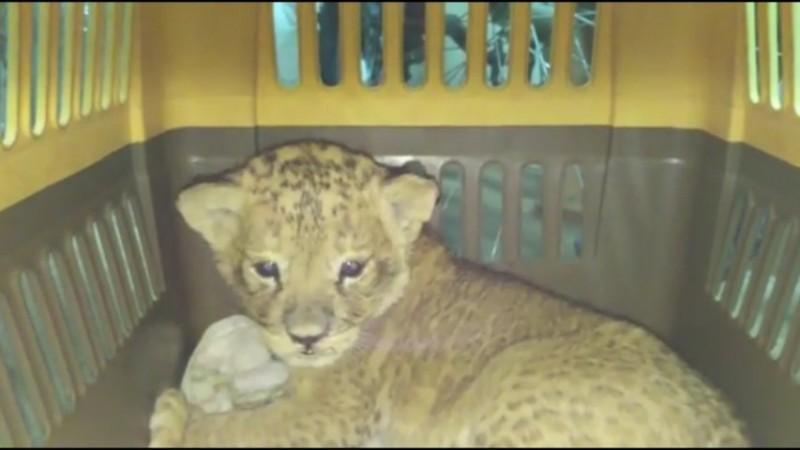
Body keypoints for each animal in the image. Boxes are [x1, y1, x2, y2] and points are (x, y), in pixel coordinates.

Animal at [148, 141, 750, 447]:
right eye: (267, 268)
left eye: (352, 268)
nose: (307, 340)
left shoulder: (331, 414)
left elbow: (236, 433)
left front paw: (176, 416)